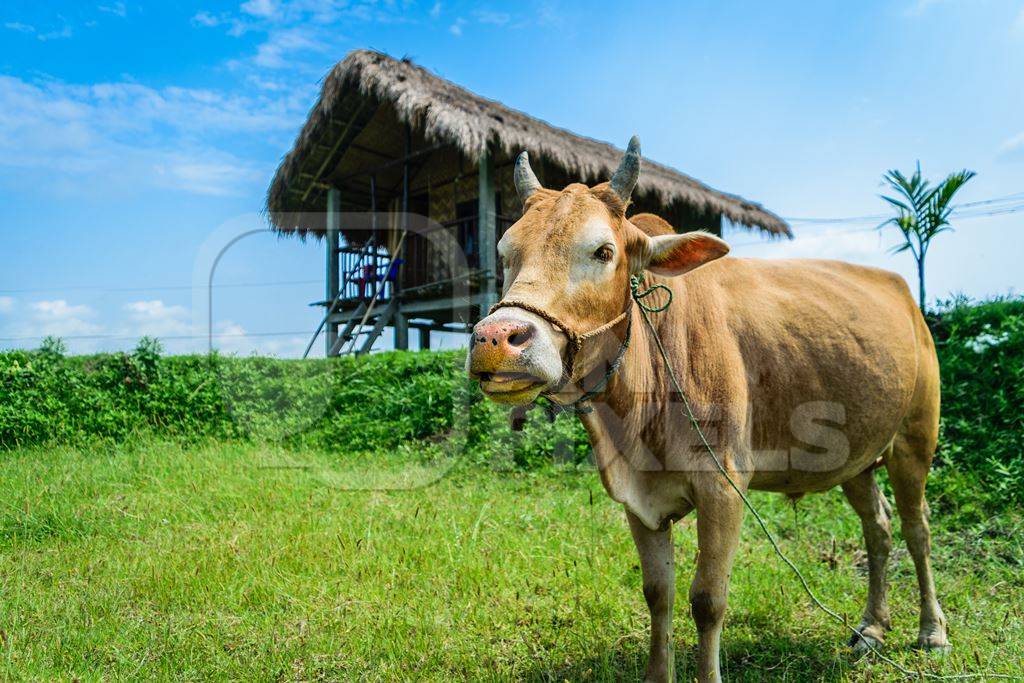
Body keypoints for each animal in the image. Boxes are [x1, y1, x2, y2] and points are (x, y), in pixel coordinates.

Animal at [468, 137, 946, 679]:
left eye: (603, 251)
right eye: (505, 253)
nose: (495, 340)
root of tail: (906, 297)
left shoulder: (724, 485)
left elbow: (708, 600)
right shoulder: (639, 499)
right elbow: (658, 593)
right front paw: (659, 673)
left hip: (914, 441)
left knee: (917, 528)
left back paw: (932, 631)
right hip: (857, 459)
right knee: (878, 528)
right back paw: (871, 627)